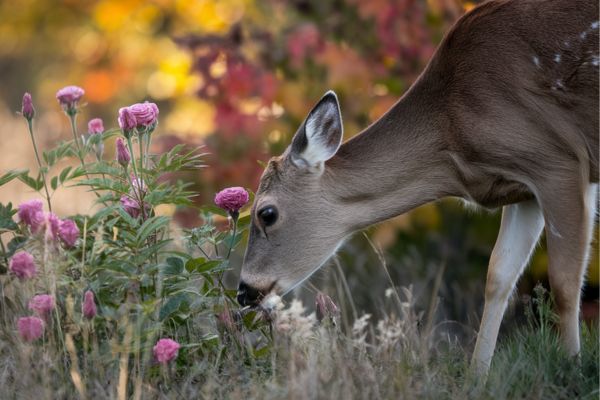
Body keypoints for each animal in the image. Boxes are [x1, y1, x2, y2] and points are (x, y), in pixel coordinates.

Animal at [237, 0, 596, 376]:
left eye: (267, 212)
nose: (244, 290)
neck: (453, 131)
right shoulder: (523, 185)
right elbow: (498, 276)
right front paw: (477, 375)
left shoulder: (560, 161)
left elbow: (564, 283)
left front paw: (574, 368)